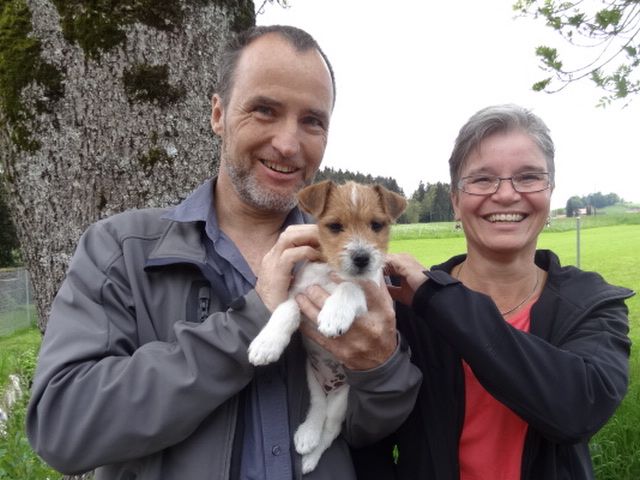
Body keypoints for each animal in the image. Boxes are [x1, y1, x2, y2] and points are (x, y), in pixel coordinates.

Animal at [248, 180, 407, 473]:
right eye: (334, 226)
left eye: (376, 225)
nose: (362, 258)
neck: (332, 273)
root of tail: (331, 385)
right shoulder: (299, 294)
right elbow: (286, 309)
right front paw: (267, 343)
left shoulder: (371, 297)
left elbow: (351, 287)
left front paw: (335, 313)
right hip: (312, 380)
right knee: (317, 409)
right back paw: (306, 436)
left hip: (342, 400)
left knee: (330, 430)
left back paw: (310, 458)